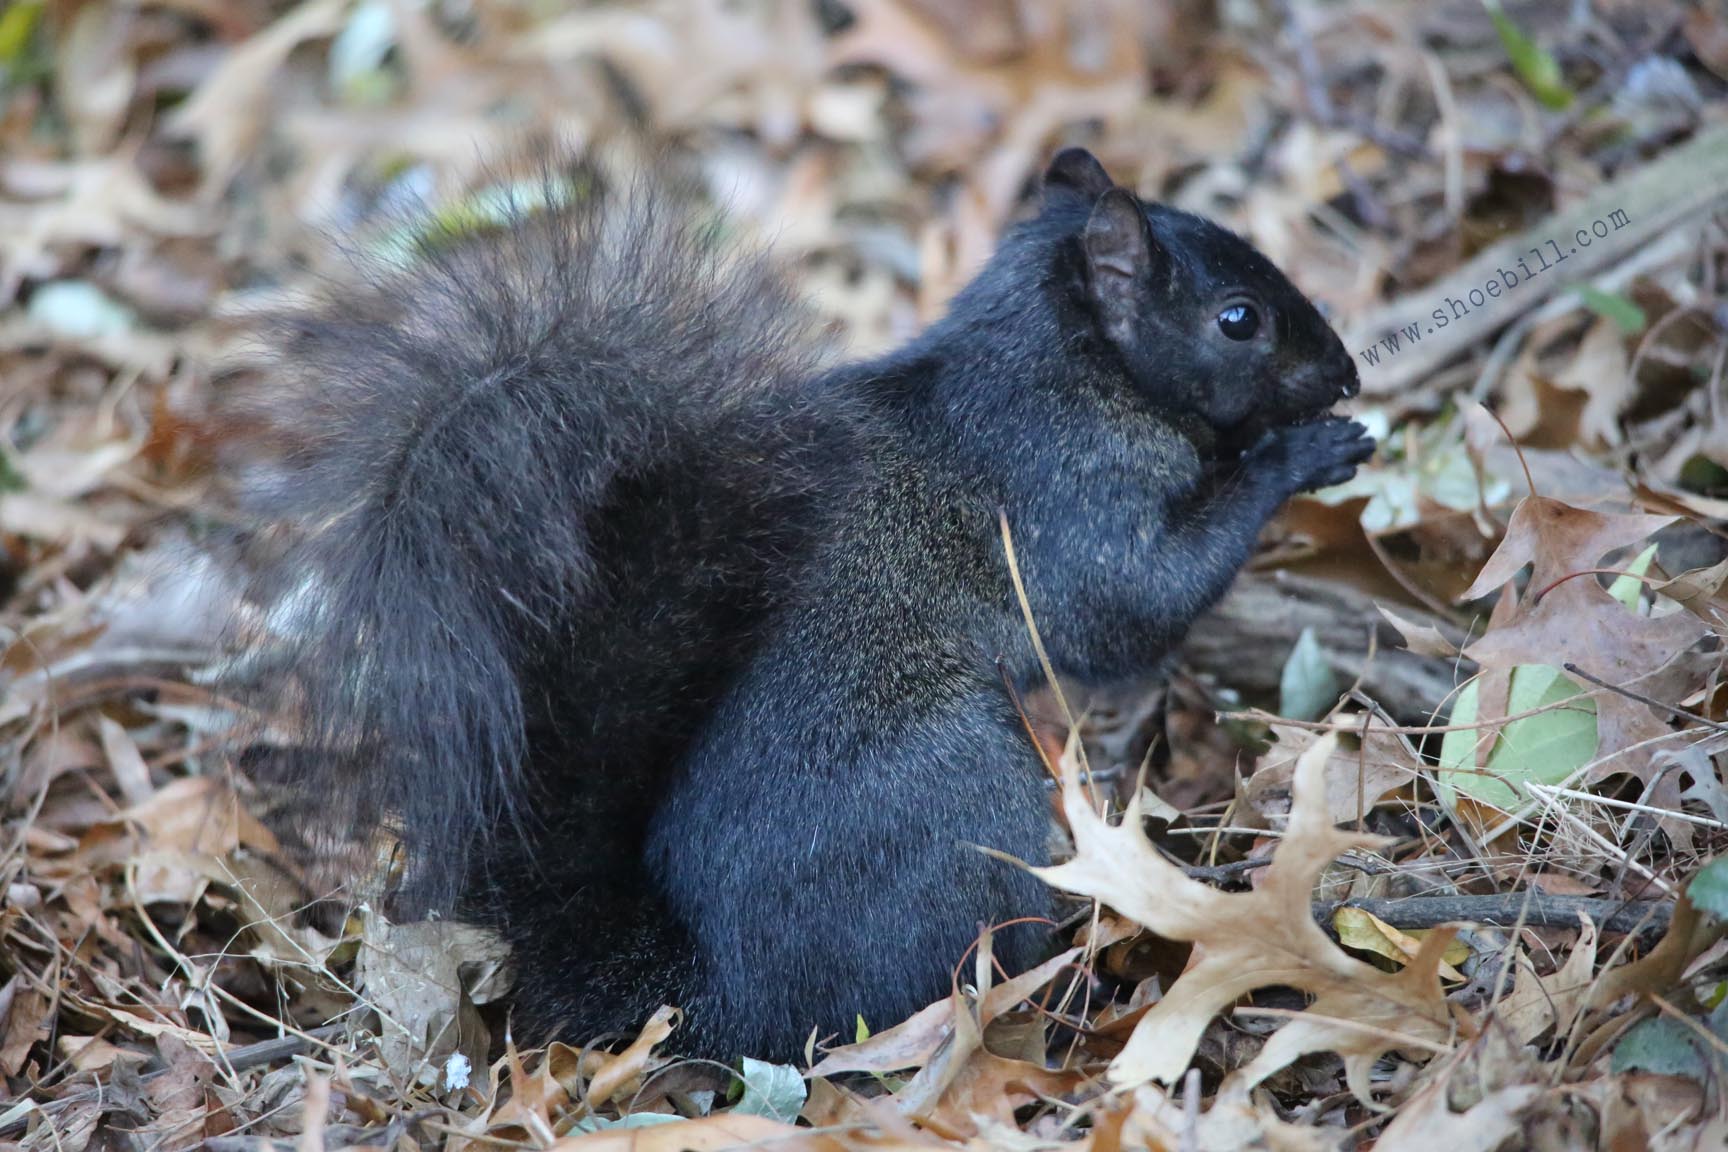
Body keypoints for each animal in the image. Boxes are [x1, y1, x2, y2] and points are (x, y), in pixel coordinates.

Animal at [229, 151, 1368, 1063]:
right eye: (1240, 319)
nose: (1347, 372)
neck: (1059, 359)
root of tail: (714, 998)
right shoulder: (1066, 495)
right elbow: (1137, 598)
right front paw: (1298, 457)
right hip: (955, 791)